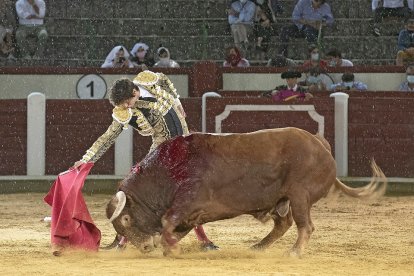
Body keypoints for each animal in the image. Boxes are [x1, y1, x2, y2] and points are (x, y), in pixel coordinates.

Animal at [106, 127, 384, 256]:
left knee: (305, 225)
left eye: (127, 219)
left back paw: (294, 252)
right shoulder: (191, 214)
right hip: (282, 199)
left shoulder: (188, 202)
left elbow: (167, 222)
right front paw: (169, 247)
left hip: (299, 194)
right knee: (283, 224)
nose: (144, 247)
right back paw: (258, 247)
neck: (166, 171)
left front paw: (169, 248)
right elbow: (173, 228)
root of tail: (320, 145)